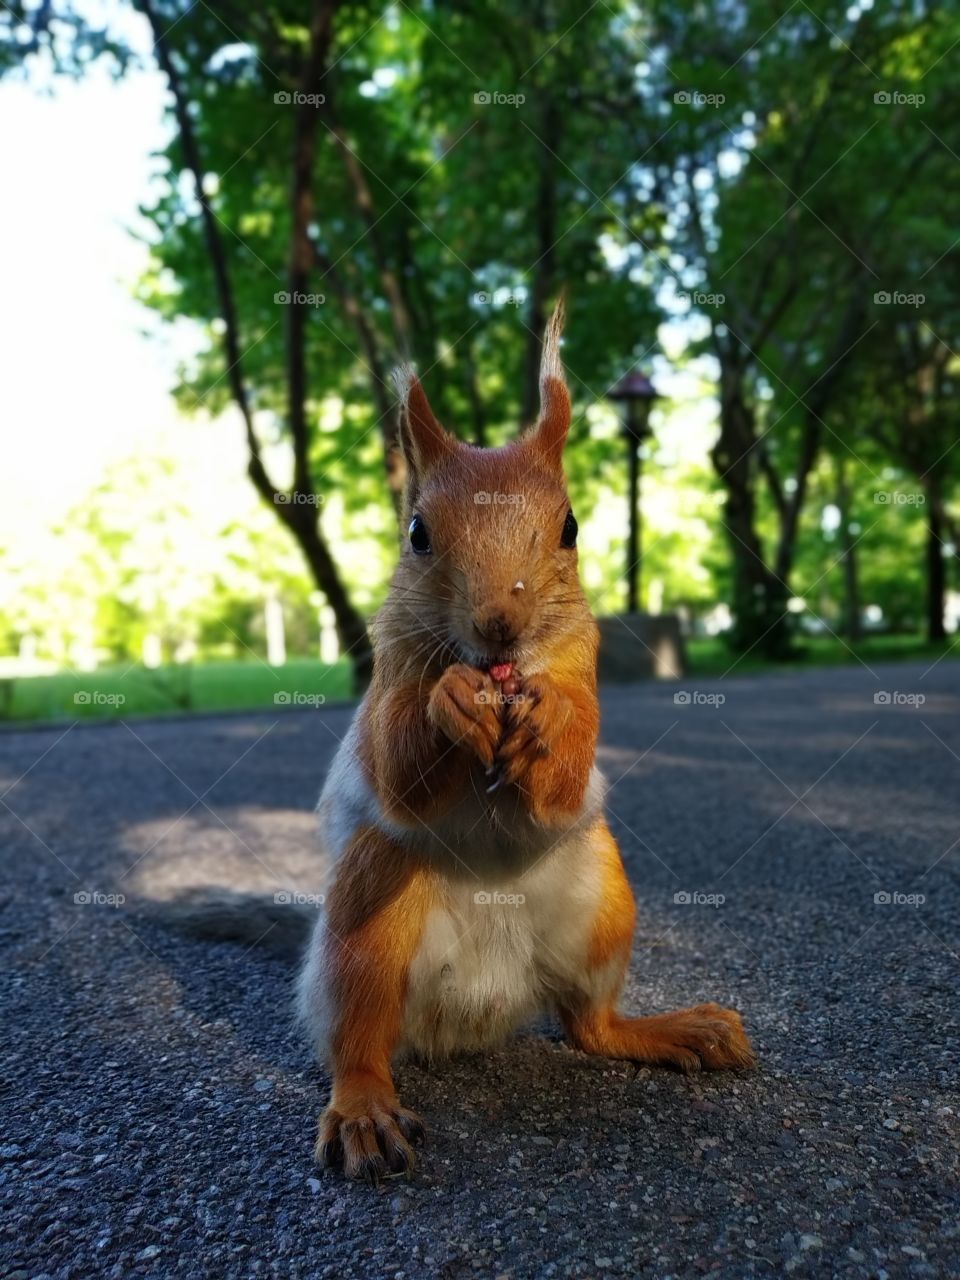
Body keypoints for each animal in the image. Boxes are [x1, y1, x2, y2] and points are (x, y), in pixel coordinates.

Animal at [151, 298, 754, 1183]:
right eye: (416, 532)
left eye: (571, 527)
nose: (500, 624)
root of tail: (479, 1009)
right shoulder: (387, 682)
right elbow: (397, 763)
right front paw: (453, 701)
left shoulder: (580, 670)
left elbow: (568, 767)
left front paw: (547, 718)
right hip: (369, 917)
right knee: (358, 1044)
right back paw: (365, 1110)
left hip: (606, 906)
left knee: (589, 1026)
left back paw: (675, 1028)